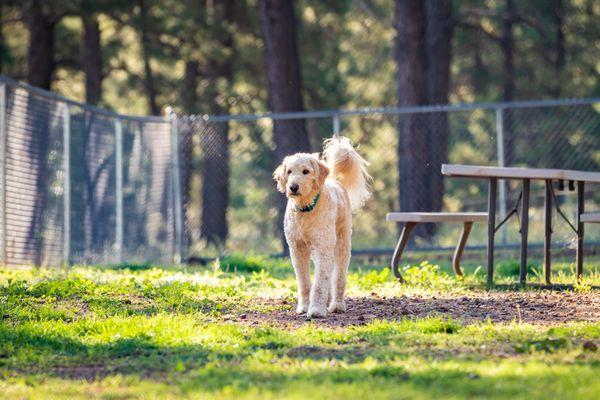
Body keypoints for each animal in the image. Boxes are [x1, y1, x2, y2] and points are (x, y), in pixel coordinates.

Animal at [274, 138, 370, 318]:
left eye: (305, 171)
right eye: (289, 171)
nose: (293, 187)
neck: (305, 211)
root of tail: (336, 180)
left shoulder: (322, 249)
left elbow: (319, 284)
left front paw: (316, 310)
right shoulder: (297, 250)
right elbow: (304, 283)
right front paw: (304, 306)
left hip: (341, 246)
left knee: (338, 278)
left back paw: (337, 305)